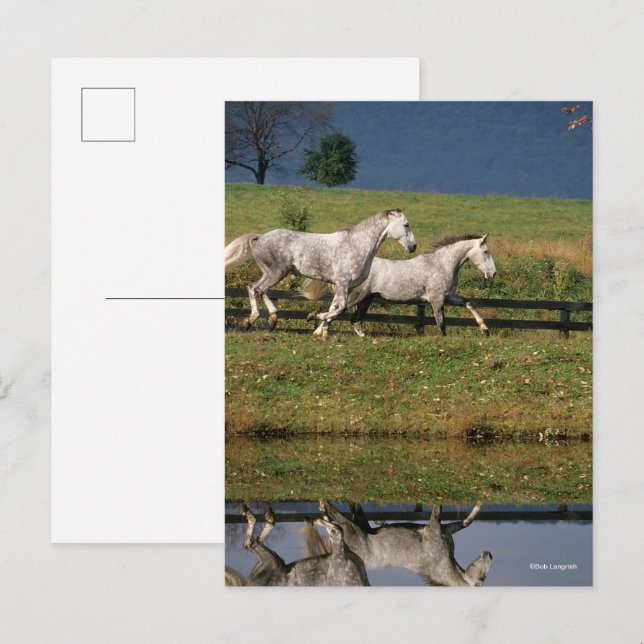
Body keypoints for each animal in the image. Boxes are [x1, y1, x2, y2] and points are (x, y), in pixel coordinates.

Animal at [224, 209, 417, 337]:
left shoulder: (345, 285)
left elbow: (335, 307)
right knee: (254, 288)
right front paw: (313, 317)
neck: (357, 245)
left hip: (273, 273)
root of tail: (260, 237)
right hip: (275, 272)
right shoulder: (342, 281)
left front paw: (323, 332)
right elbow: (341, 307)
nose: (413, 247)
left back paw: (272, 319)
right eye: (406, 225)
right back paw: (251, 320)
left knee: (259, 289)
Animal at [302, 233, 496, 337]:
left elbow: (470, 304)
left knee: (353, 319)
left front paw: (485, 330)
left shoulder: (450, 296)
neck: (442, 264)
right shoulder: (437, 299)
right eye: (486, 252)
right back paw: (317, 325)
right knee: (338, 312)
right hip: (355, 297)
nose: (492, 273)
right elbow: (441, 323)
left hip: (365, 299)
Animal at [320, 500, 493, 587]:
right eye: (481, 578)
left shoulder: (439, 528)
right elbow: (463, 520)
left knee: (340, 514)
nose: (489, 554)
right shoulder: (441, 528)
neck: (441, 564)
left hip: (355, 526)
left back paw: (323, 508)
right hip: (356, 525)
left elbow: (459, 519)